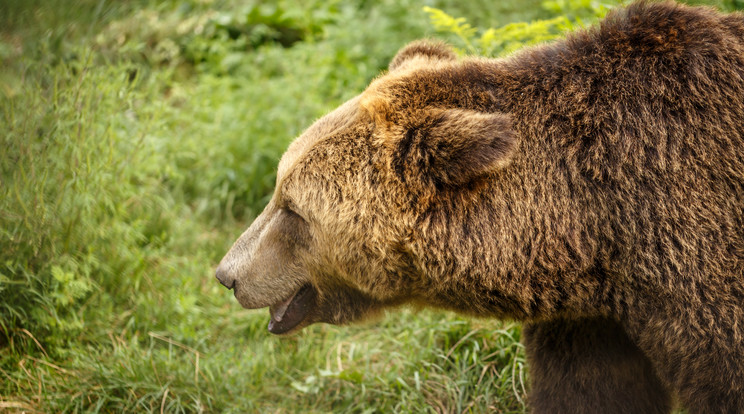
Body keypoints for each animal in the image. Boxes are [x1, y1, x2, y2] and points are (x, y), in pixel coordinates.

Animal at [215, 1, 744, 412]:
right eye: (277, 187)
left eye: (293, 210)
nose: (227, 275)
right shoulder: (592, 321)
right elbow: (591, 392)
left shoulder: (700, 263)